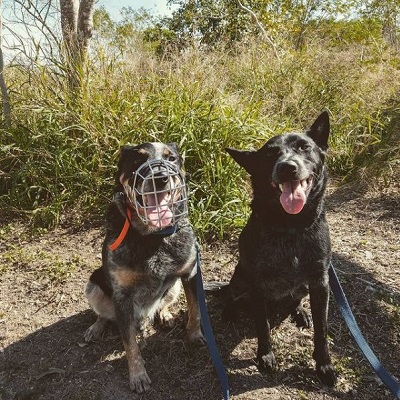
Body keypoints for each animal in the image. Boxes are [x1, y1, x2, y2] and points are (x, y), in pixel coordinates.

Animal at [83, 142, 203, 392]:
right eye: (137, 160)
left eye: (171, 158)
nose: (161, 177)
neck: (154, 237)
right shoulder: (122, 297)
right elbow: (130, 345)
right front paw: (137, 376)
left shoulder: (189, 274)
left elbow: (195, 310)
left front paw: (194, 335)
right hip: (93, 284)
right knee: (103, 315)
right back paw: (96, 328)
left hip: (174, 287)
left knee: (163, 302)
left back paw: (164, 314)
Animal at [225, 111, 338, 386]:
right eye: (270, 154)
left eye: (304, 147)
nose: (287, 167)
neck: (291, 226)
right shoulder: (257, 283)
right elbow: (262, 325)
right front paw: (265, 355)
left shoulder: (320, 282)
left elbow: (322, 329)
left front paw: (324, 364)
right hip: (240, 279)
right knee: (231, 295)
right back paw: (229, 311)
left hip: (304, 287)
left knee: (294, 299)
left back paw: (300, 312)